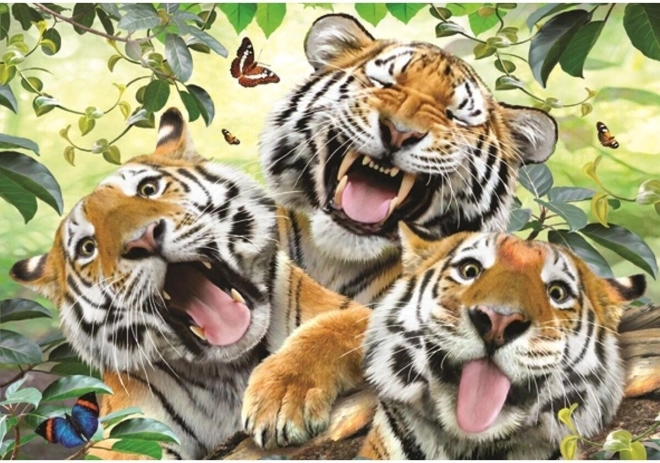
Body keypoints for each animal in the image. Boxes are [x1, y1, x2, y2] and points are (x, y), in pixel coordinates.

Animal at [9, 108, 362, 459]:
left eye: (148, 188)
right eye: (87, 248)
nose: (142, 240)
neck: (233, 369)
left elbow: (331, 329)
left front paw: (282, 398)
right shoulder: (133, 425)